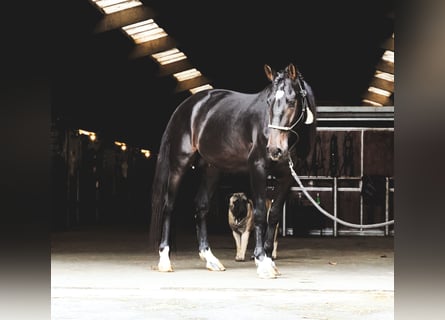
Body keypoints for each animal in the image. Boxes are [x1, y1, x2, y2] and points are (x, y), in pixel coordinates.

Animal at [149, 63, 316, 278]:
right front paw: (261, 261)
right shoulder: (258, 170)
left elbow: (274, 215)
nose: (274, 150)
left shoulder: (287, 177)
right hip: (180, 163)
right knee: (169, 206)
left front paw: (270, 260)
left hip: (212, 169)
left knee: (201, 207)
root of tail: (185, 107)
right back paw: (165, 260)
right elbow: (261, 213)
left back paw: (210, 259)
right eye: (269, 101)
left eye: (292, 101)